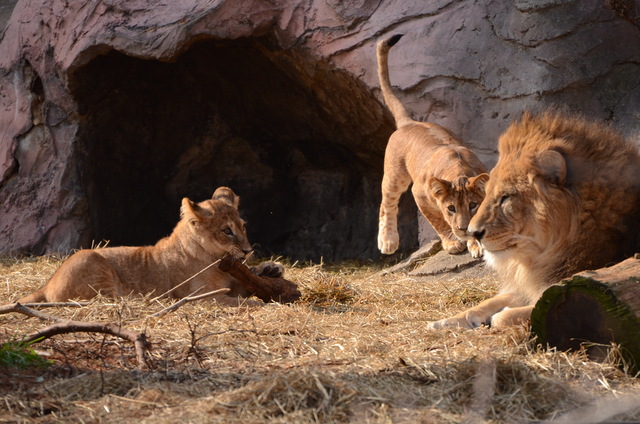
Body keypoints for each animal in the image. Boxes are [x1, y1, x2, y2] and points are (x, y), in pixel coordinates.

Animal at [18, 187, 282, 306]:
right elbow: (234, 300)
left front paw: (271, 269)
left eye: (243, 227)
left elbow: (249, 281)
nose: (248, 250)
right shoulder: (200, 297)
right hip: (90, 260)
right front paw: (257, 301)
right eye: (227, 231)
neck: (215, 259)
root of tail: (47, 283)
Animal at [378, 34, 488, 258]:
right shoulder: (419, 193)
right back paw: (388, 241)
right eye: (451, 208)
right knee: (386, 203)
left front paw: (475, 243)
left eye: (473, 205)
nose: (463, 228)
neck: (458, 171)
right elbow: (438, 222)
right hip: (395, 175)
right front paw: (452, 242)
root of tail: (410, 122)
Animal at [428, 111, 640, 330]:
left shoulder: (562, 289)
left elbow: (512, 314)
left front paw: (497, 317)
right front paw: (443, 322)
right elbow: (487, 302)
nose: (472, 233)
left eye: (506, 197)